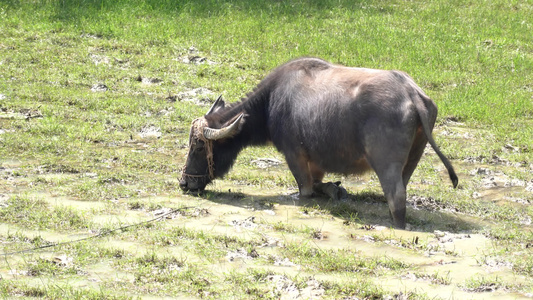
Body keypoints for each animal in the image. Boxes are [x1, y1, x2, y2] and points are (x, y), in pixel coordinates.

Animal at [180, 57, 458, 229]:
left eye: (198, 146)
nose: (184, 183)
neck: (270, 102)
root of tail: (411, 93)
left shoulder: (294, 154)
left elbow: (305, 189)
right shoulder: (316, 161)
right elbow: (319, 183)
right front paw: (335, 190)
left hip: (386, 163)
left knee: (396, 196)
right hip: (414, 155)